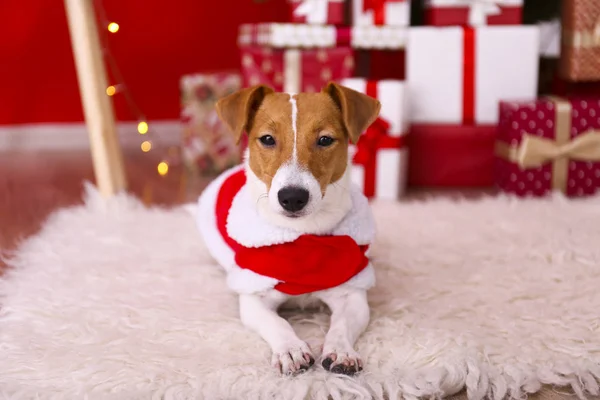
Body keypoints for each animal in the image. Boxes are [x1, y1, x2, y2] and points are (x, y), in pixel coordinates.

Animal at [197, 83, 382, 376]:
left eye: (325, 140)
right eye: (267, 139)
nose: (293, 197)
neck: (303, 238)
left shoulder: (351, 292)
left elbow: (341, 325)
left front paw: (341, 351)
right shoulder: (253, 295)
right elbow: (277, 323)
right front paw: (291, 349)